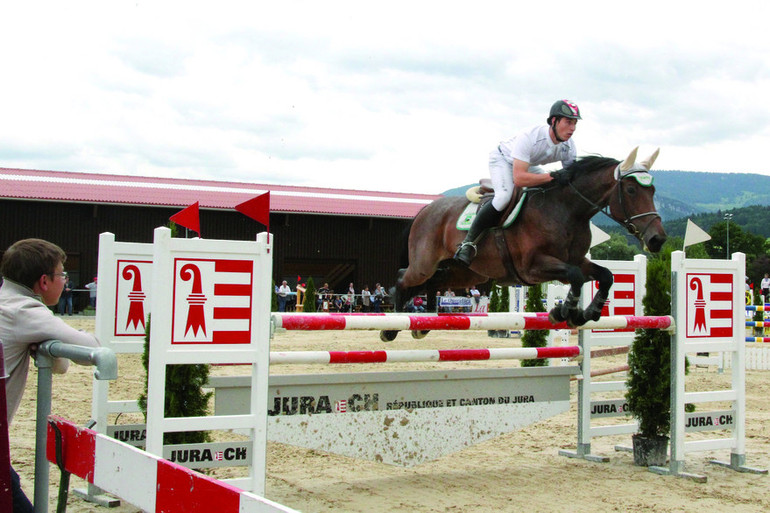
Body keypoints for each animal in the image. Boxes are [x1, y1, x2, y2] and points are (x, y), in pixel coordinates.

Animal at [384, 146, 664, 342]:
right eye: (630, 190)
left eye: (652, 191)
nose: (657, 239)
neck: (566, 210)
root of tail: (425, 209)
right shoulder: (534, 267)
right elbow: (575, 276)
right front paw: (564, 312)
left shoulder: (575, 260)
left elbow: (605, 275)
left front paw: (589, 312)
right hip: (425, 263)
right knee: (402, 277)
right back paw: (392, 327)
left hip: (465, 273)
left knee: (432, 283)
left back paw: (423, 325)